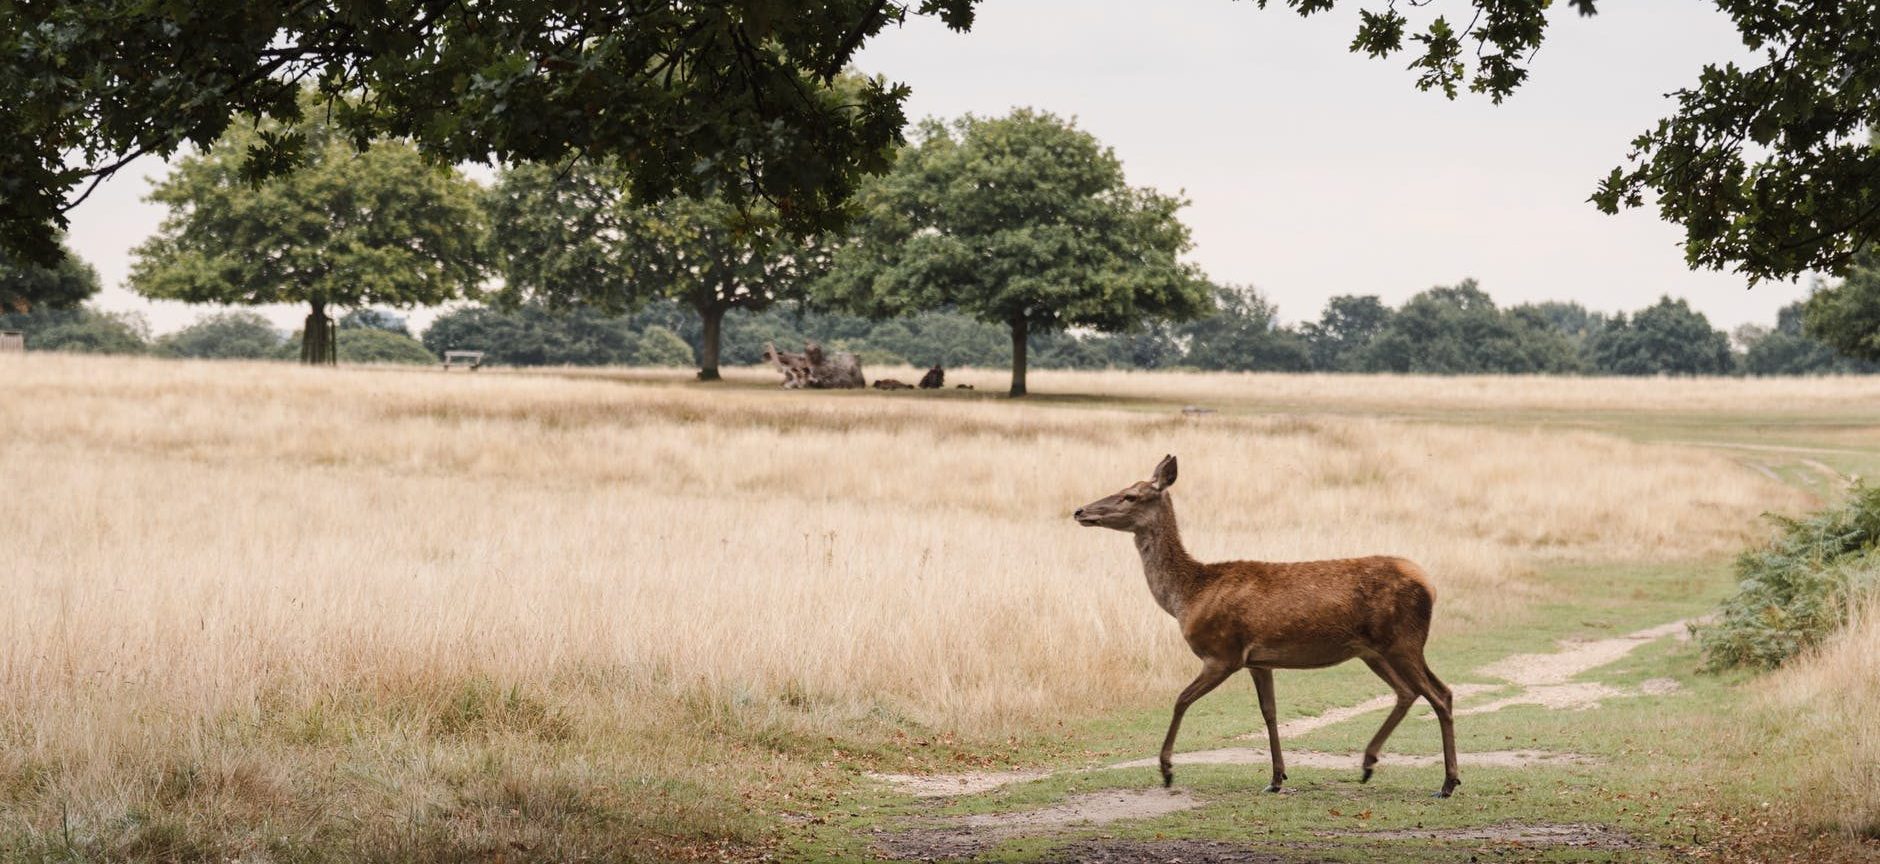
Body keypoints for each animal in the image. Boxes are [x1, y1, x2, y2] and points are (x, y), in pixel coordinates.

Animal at [1073, 455, 1460, 798]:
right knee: (1414, 692)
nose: (1080, 511)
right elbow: (1269, 712)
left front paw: (1167, 770)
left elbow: (1180, 700)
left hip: (1401, 642)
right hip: (1378, 651)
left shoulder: (1223, 653)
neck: (1188, 596)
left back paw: (1447, 783)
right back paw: (1369, 763)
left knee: (1438, 694)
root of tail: (1430, 585)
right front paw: (1276, 778)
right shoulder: (1258, 661)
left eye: (1130, 495)